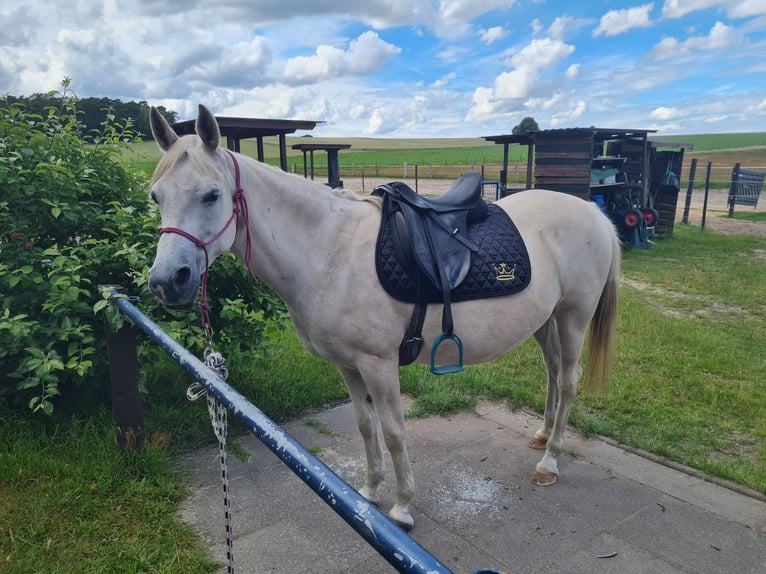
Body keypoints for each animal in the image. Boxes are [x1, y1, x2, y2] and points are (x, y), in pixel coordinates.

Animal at [147, 106, 620, 532]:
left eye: (212, 195)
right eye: (156, 196)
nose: (167, 281)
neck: (328, 250)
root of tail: (593, 213)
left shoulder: (379, 364)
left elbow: (393, 432)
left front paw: (402, 507)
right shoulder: (348, 366)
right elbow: (365, 426)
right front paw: (370, 493)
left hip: (573, 317)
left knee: (569, 380)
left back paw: (550, 461)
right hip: (545, 320)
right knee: (554, 373)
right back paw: (542, 435)